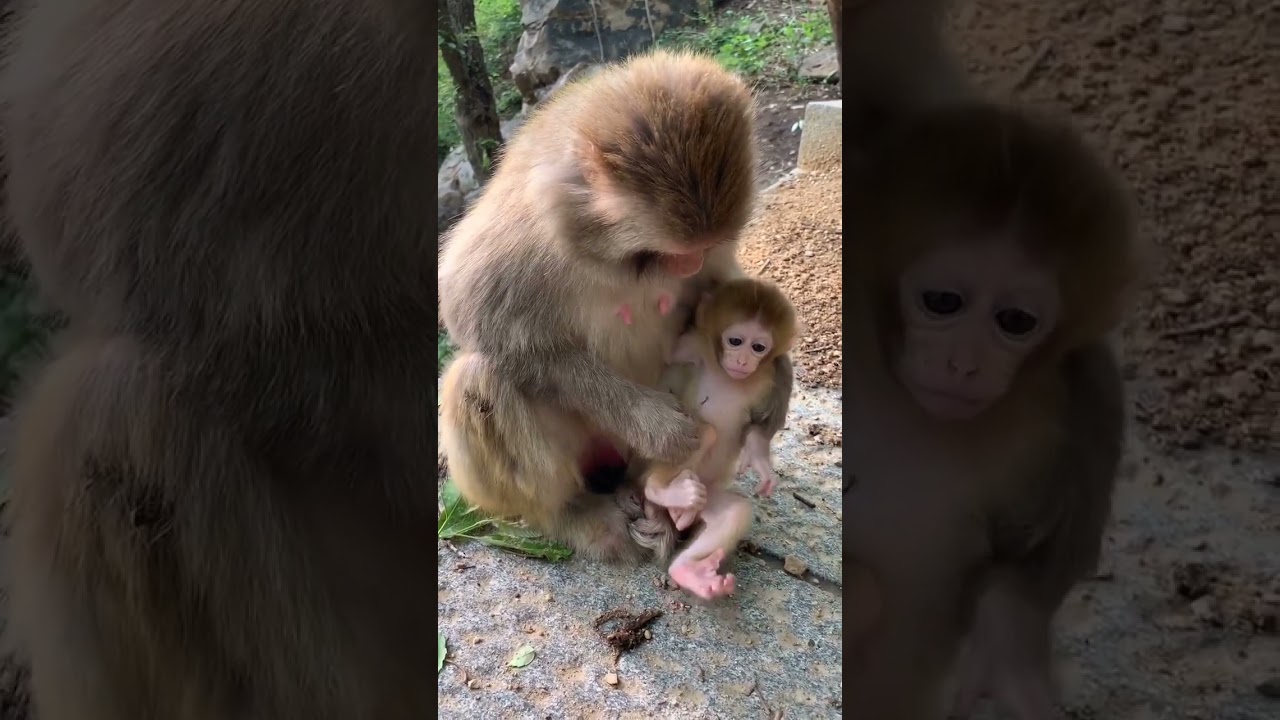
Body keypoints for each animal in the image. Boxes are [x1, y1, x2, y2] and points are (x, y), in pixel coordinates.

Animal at [437, 49, 795, 564]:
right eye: (666, 250)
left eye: (705, 246)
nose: (691, 262)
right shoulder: (521, 235)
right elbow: (480, 323)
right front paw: (658, 425)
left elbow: (725, 291)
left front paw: (780, 381)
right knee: (477, 377)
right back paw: (572, 513)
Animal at [633, 278, 796, 599]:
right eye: (735, 341)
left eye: (758, 347)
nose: (743, 360)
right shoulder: (695, 347)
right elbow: (666, 353)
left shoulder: (767, 378)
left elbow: (757, 428)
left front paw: (760, 458)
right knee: (706, 433)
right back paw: (660, 489)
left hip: (706, 494)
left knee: (734, 513)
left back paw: (689, 570)